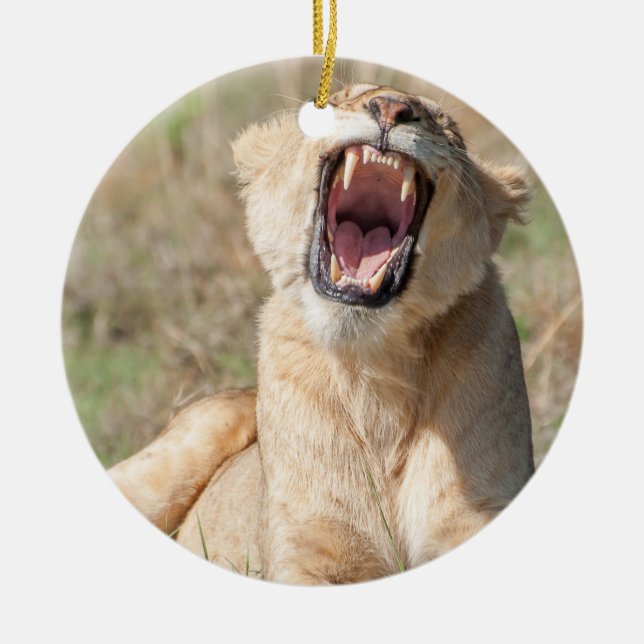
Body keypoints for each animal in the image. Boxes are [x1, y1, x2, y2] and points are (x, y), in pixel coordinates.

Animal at [108, 84, 534, 584]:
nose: (391, 108)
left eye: (446, 126)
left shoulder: (476, 516)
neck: (375, 370)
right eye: (334, 100)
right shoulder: (304, 549)